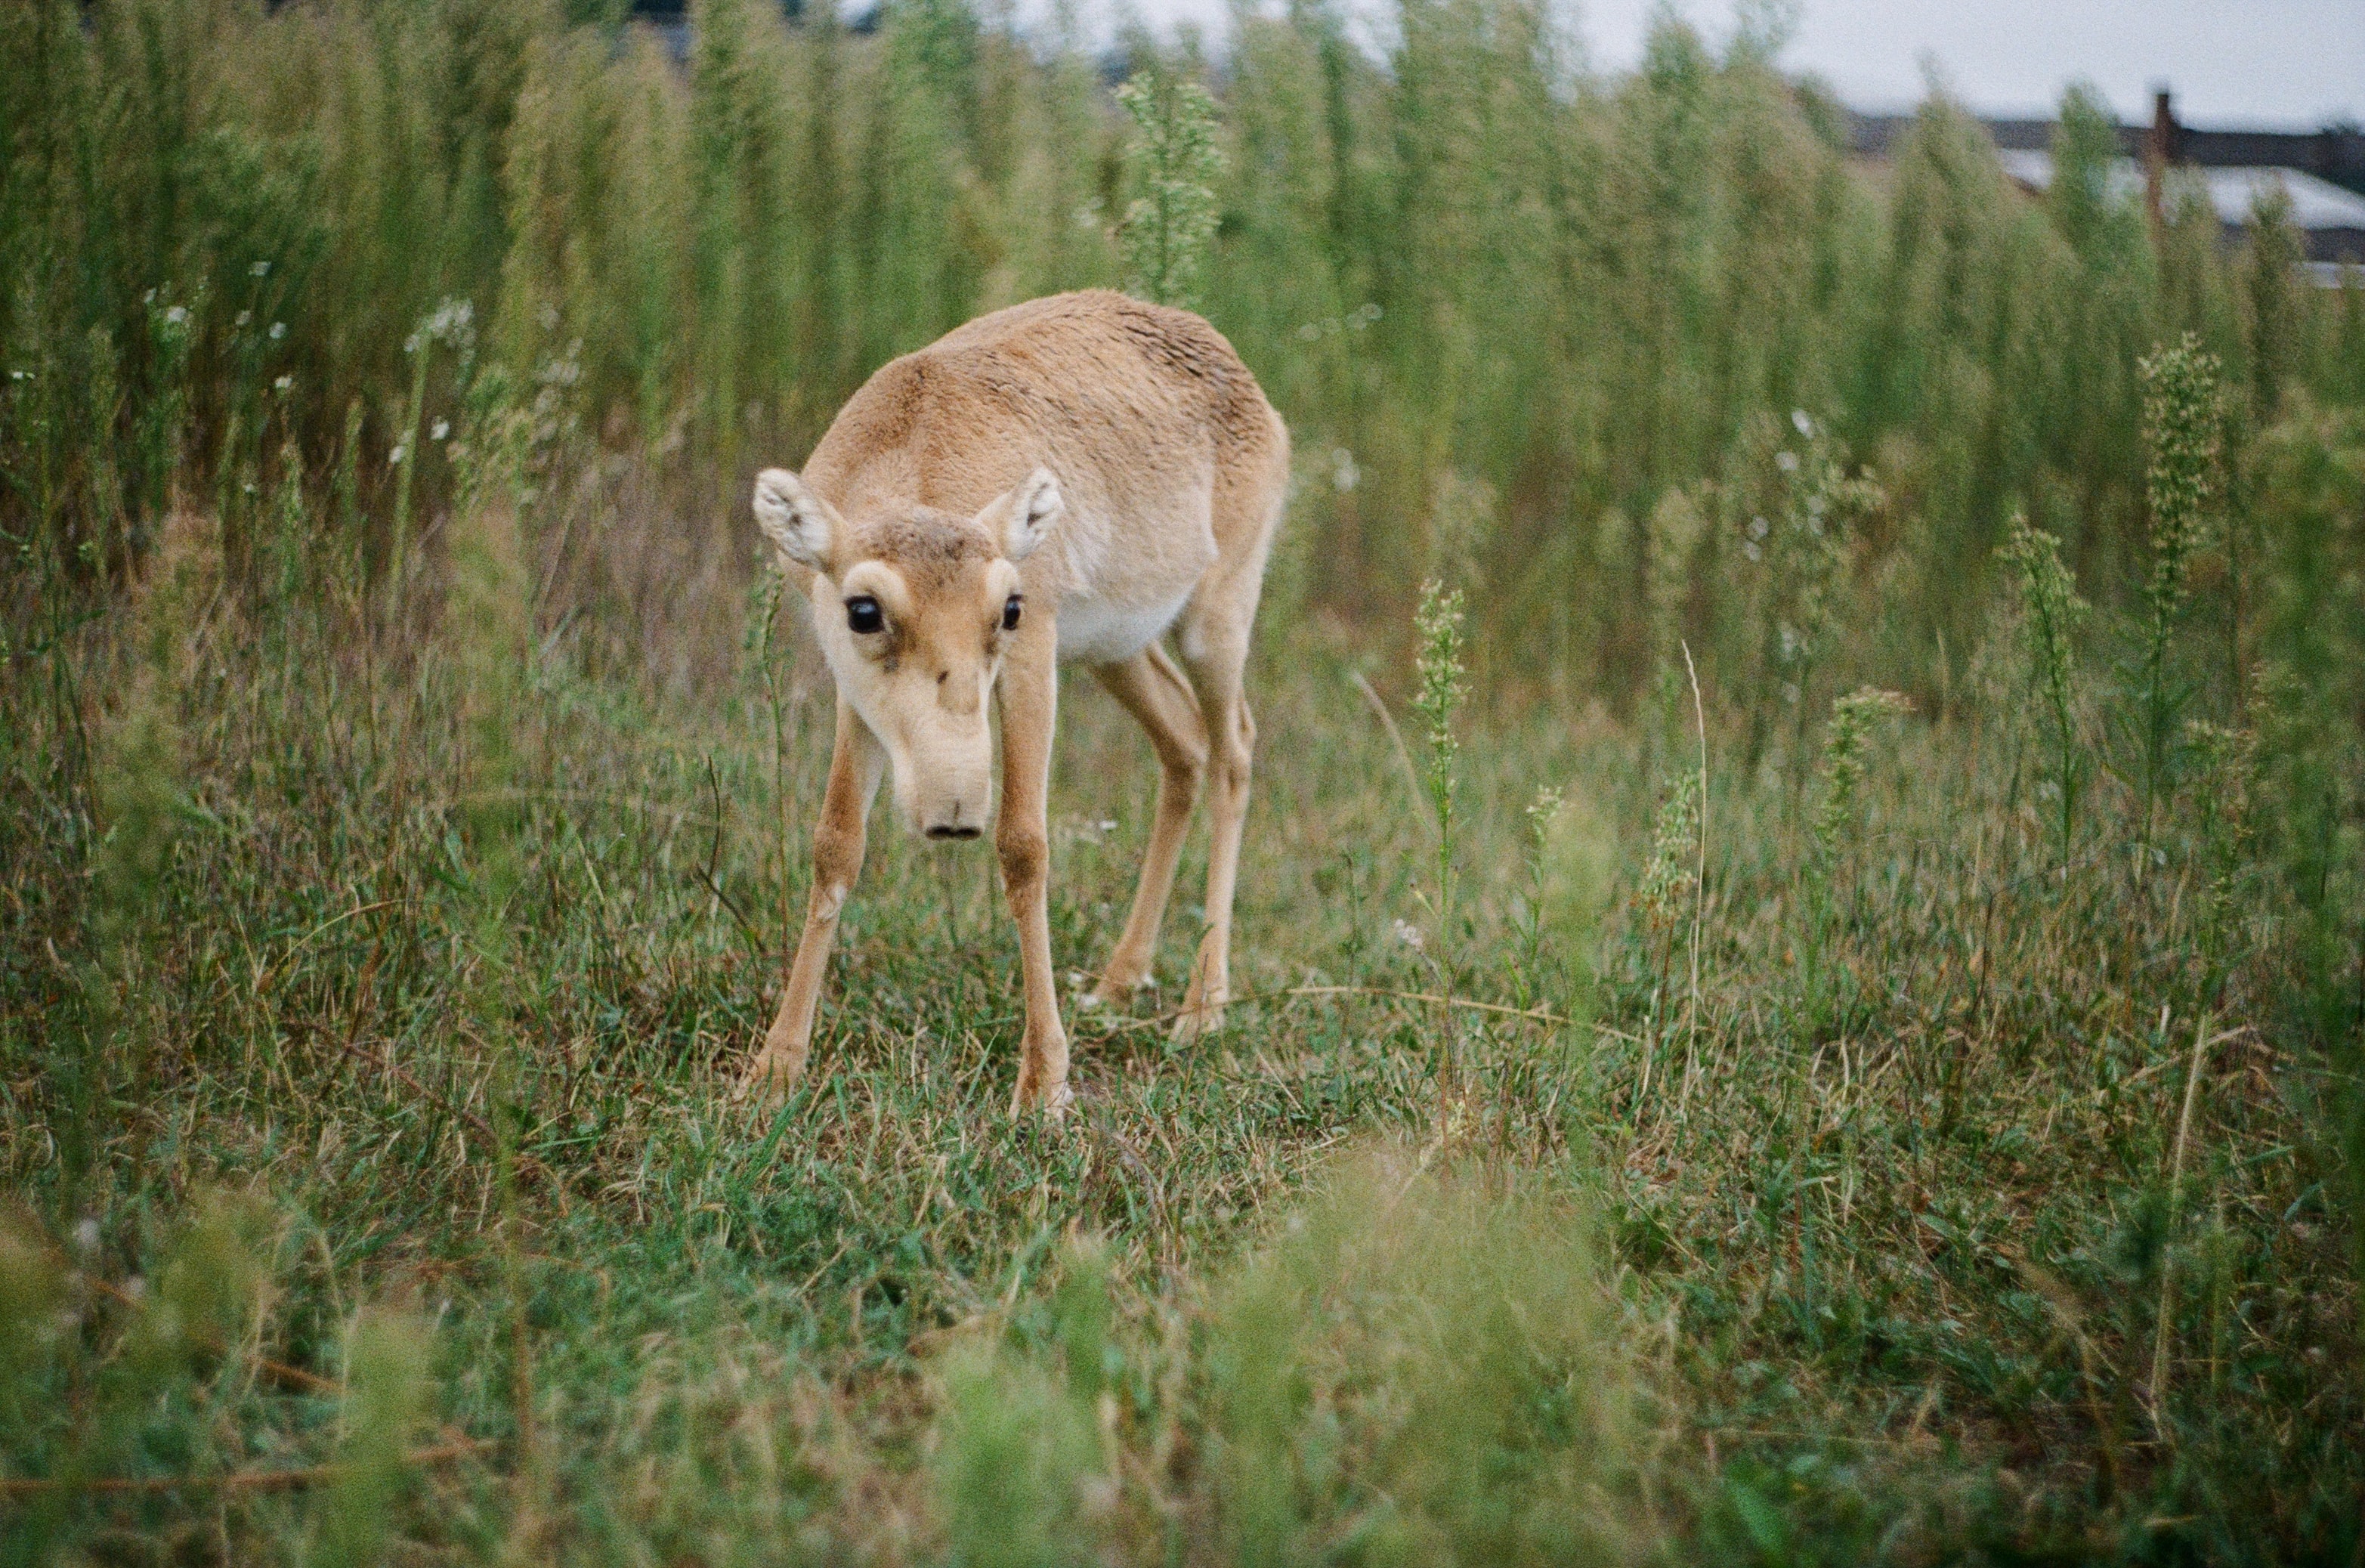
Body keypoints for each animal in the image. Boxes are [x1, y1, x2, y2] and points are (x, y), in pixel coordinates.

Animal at [737, 285, 1296, 1116]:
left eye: (1009, 607)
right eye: (862, 609)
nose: (952, 808)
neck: (916, 448)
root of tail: (1232, 362)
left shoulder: (1034, 659)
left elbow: (1024, 844)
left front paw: (1043, 1084)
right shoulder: (854, 693)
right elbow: (835, 843)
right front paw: (773, 1070)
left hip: (1214, 619)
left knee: (1235, 751)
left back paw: (1202, 1008)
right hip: (1117, 650)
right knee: (1185, 747)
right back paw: (1118, 981)